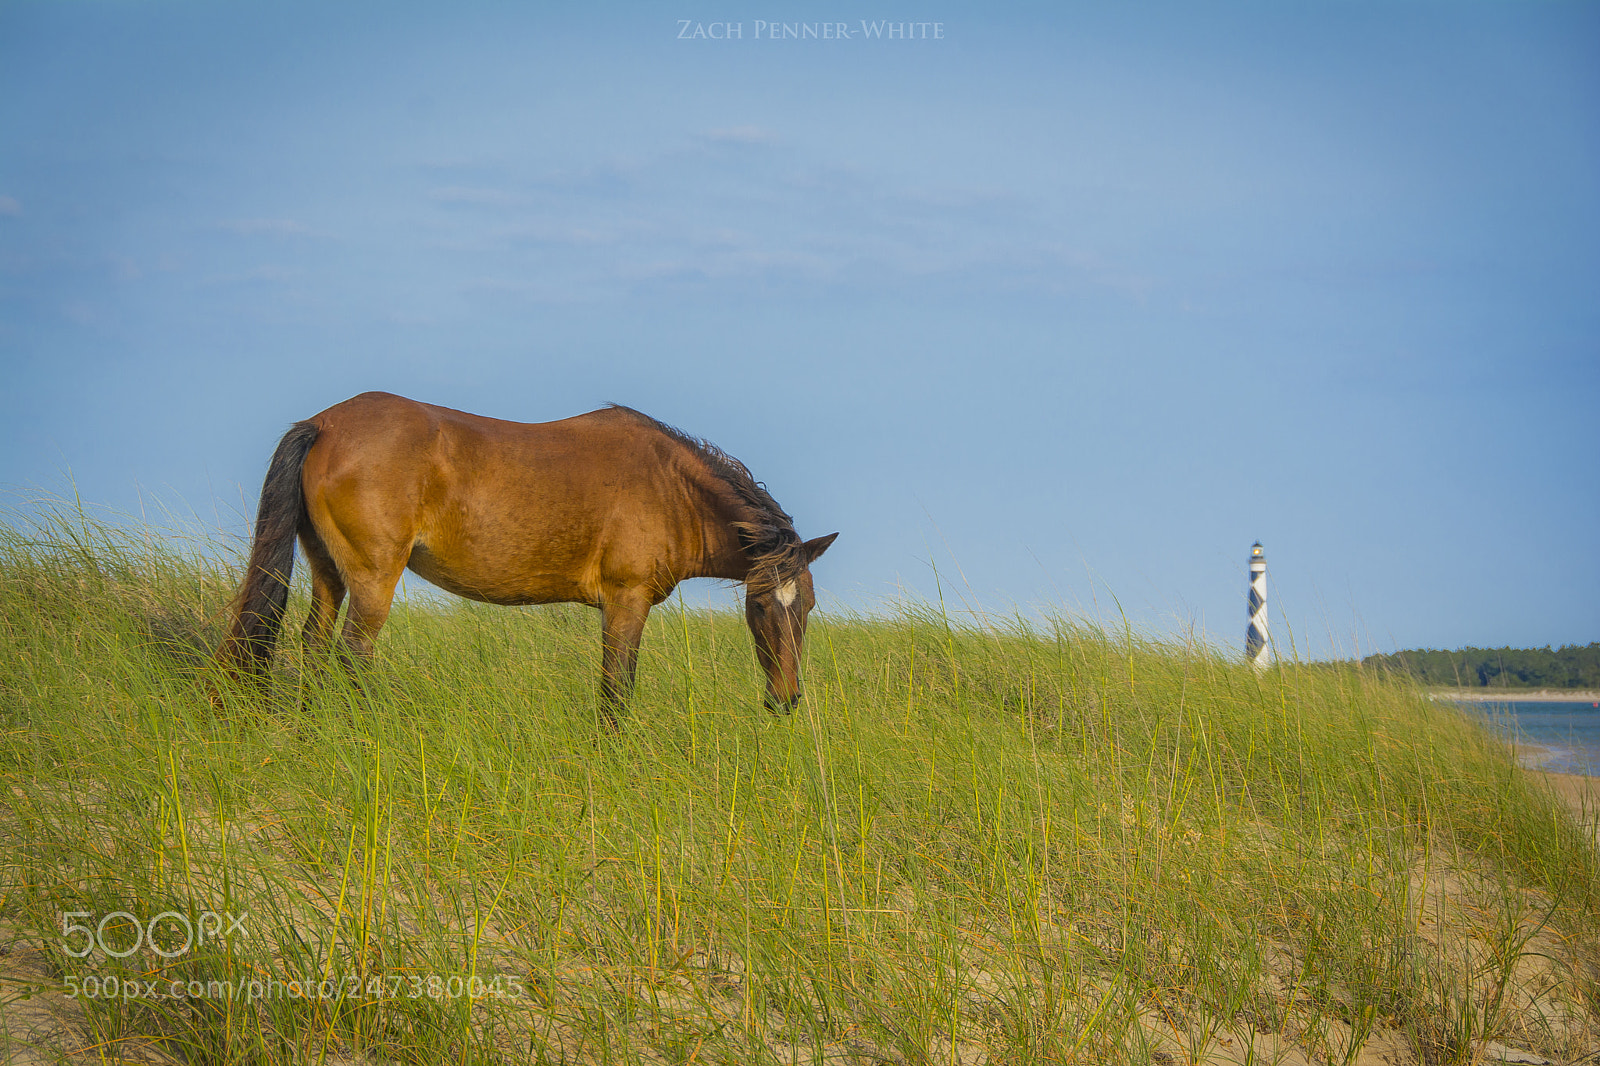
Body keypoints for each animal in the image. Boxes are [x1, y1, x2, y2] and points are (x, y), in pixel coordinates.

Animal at [214, 392, 837, 724]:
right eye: (760, 608)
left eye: (805, 607)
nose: (786, 701)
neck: (669, 487)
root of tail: (323, 425)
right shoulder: (626, 603)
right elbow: (616, 689)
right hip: (372, 580)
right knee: (352, 653)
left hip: (329, 573)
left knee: (315, 646)